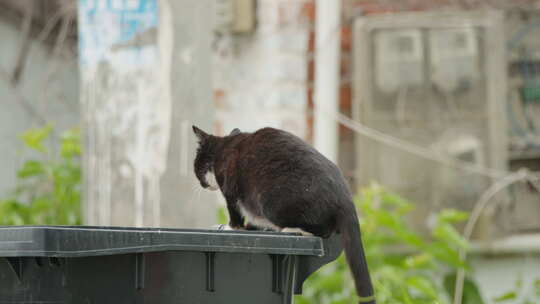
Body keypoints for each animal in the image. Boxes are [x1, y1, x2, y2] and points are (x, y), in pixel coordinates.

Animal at [193, 126, 376, 304]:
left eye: (196, 167)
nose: (201, 185)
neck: (223, 148)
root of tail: (345, 195)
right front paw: (250, 227)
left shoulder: (231, 190)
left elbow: (235, 213)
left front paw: (231, 228)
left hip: (272, 204)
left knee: (322, 230)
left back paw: (292, 229)